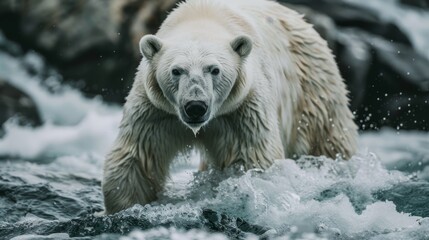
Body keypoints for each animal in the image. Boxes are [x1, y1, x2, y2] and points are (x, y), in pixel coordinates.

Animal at [102, 0, 356, 214]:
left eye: (214, 69)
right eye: (176, 70)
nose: (196, 106)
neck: (202, 17)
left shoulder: (242, 108)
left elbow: (253, 157)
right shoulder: (156, 109)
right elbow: (138, 155)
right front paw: (127, 207)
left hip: (312, 87)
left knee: (325, 137)